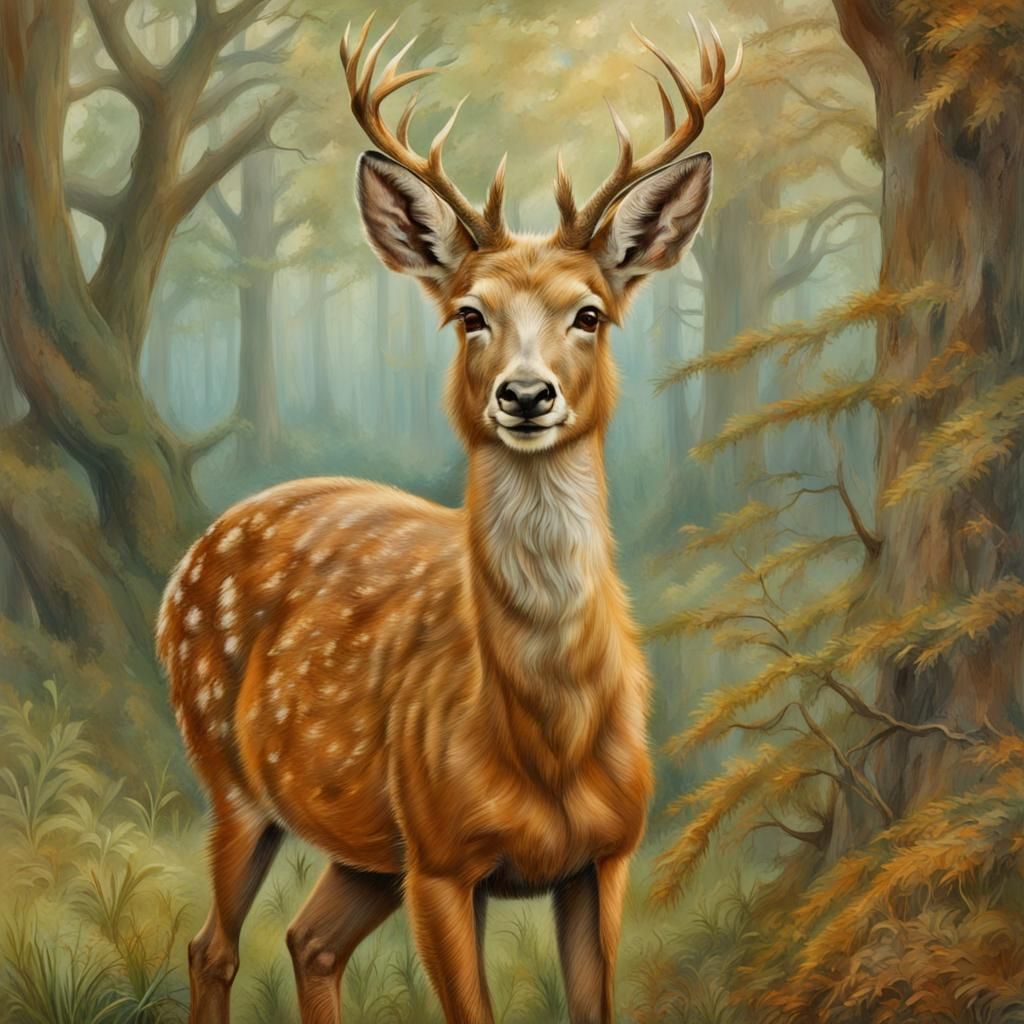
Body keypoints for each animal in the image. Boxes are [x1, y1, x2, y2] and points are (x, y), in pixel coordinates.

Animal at [156, 14, 739, 1024]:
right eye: (470, 313)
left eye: (591, 313)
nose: (526, 394)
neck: (547, 741)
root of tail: (187, 565)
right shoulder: (440, 858)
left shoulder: (609, 855)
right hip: (229, 774)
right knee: (213, 947)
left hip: (362, 845)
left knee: (308, 940)